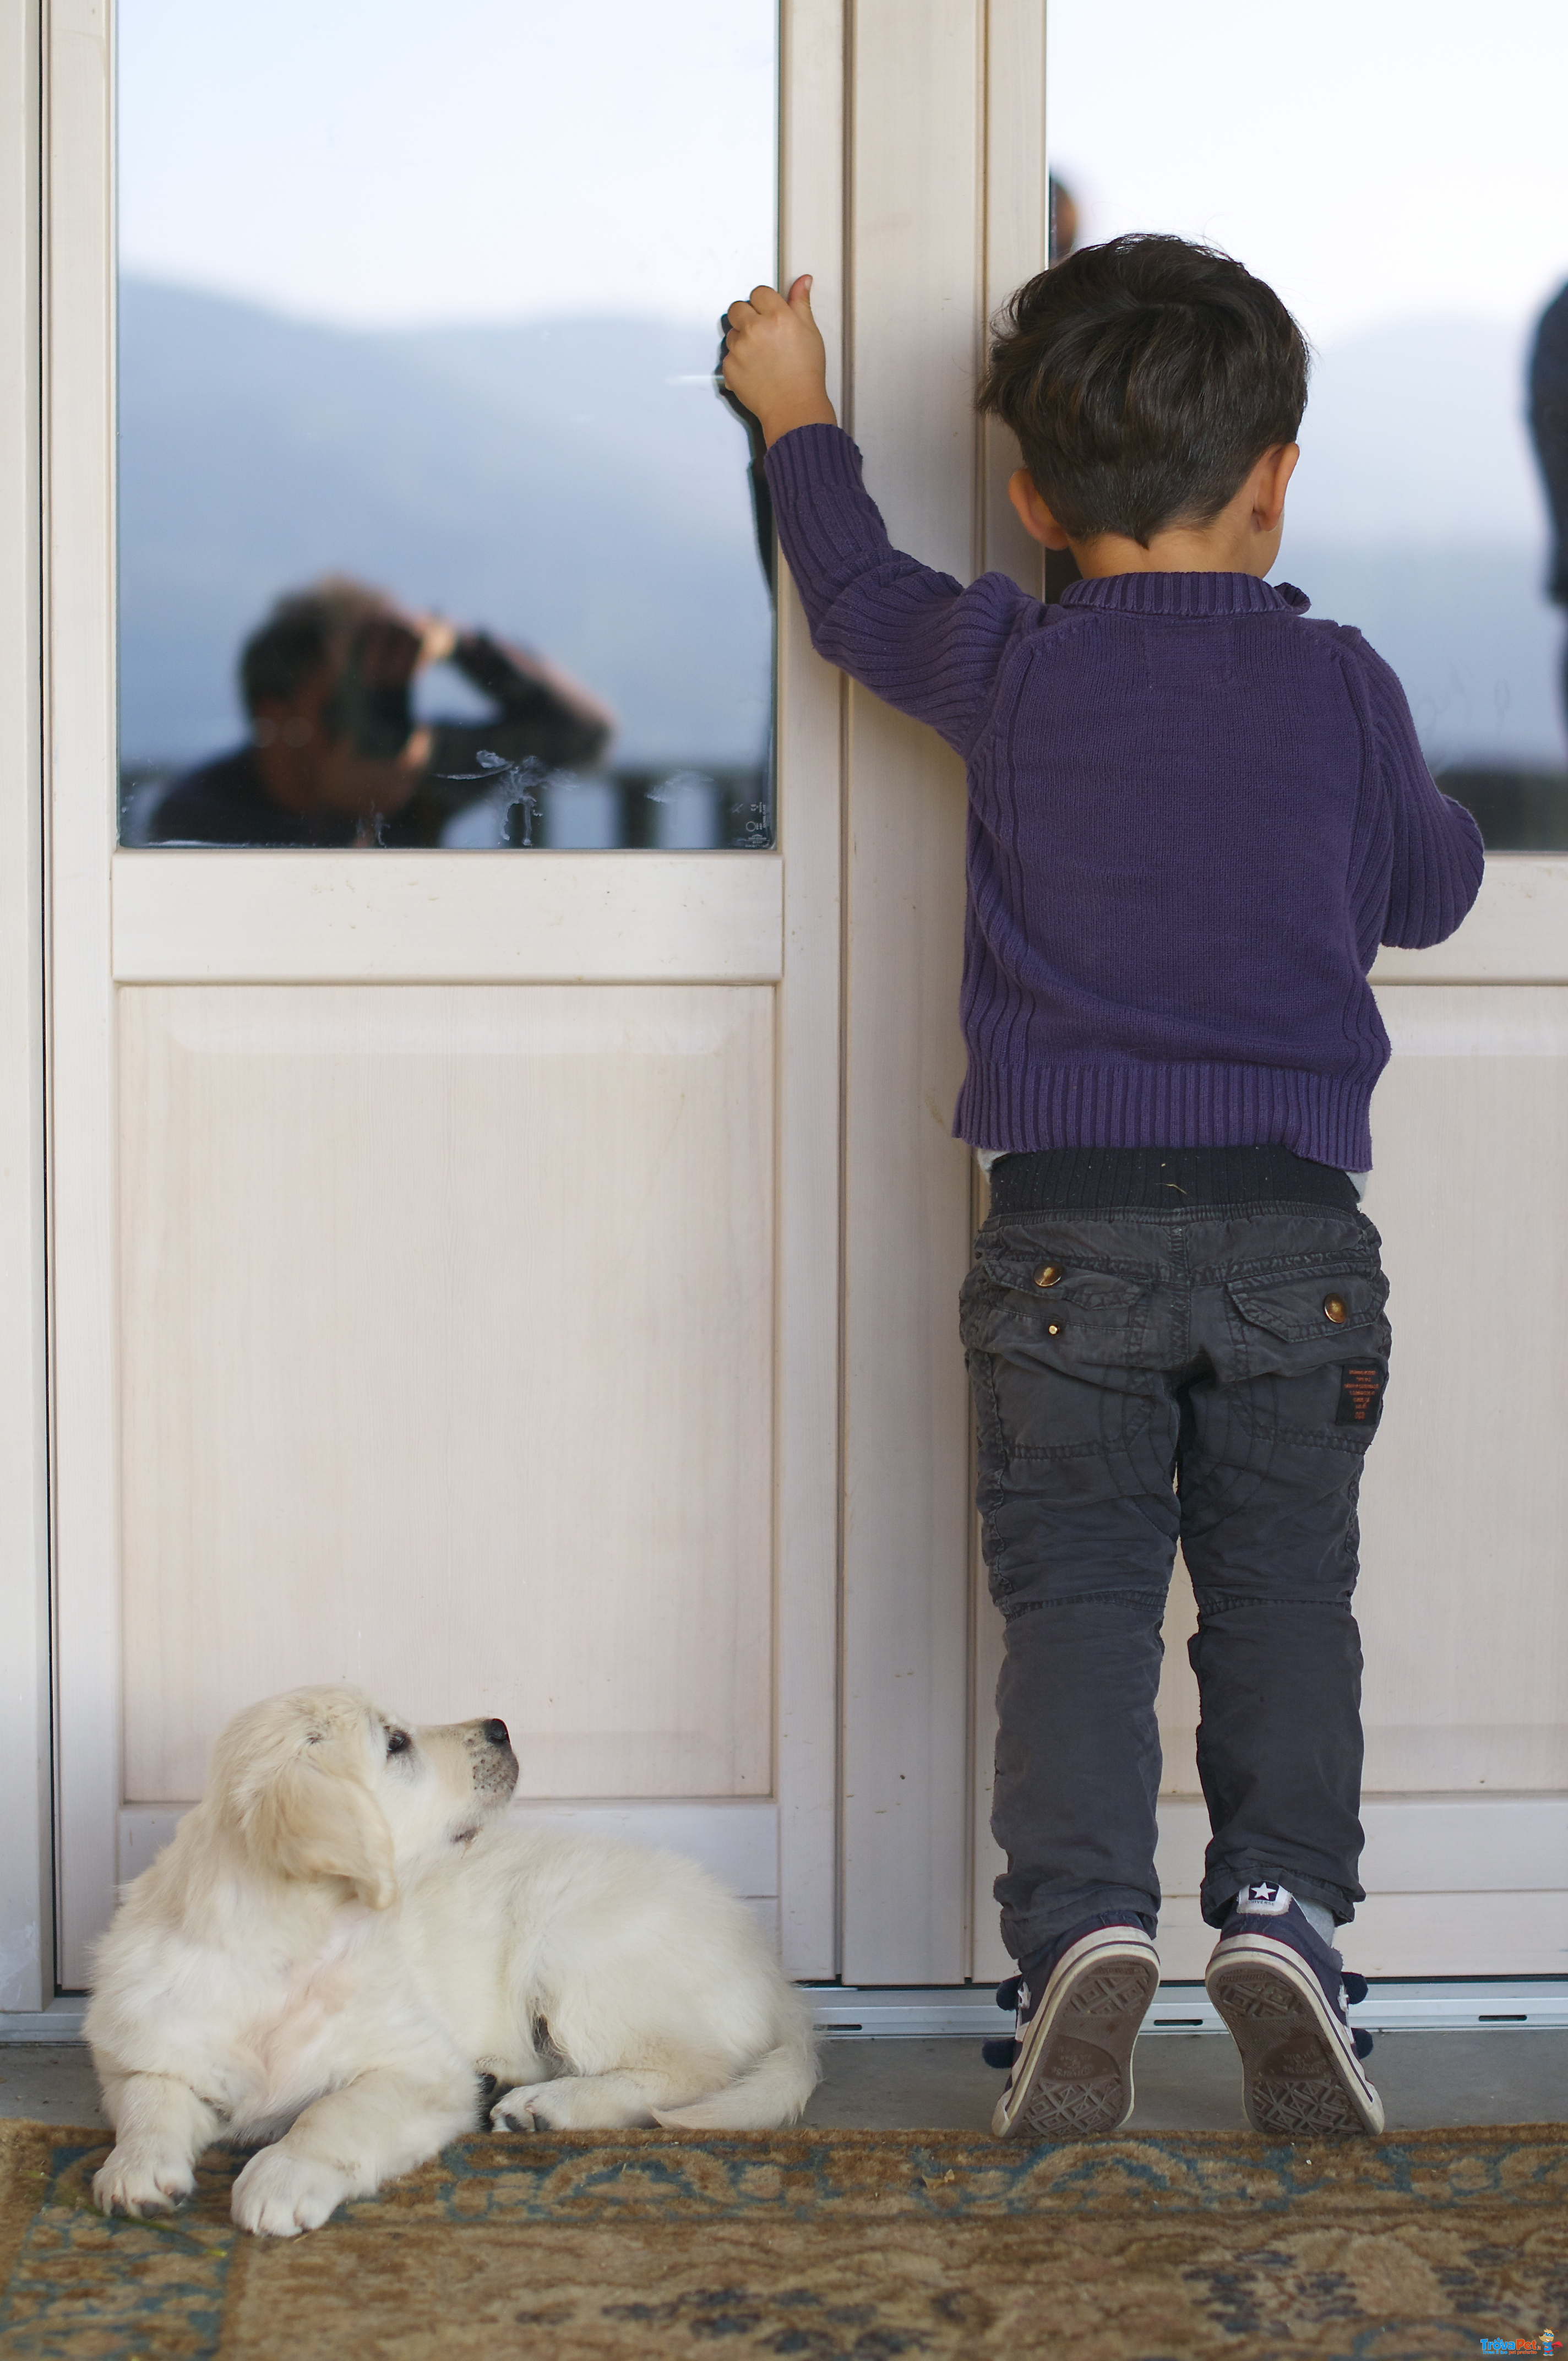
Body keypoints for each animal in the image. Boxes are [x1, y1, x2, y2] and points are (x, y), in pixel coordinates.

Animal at [83, 1681, 821, 2228]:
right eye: (395, 1743)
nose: (500, 1725)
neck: (291, 1950)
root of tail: (773, 1973)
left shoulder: (418, 2068)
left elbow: (334, 2112)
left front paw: (282, 2176)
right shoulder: (142, 2048)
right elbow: (149, 2101)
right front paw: (135, 2169)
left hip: (578, 1952)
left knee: (693, 2068)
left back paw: (550, 2105)